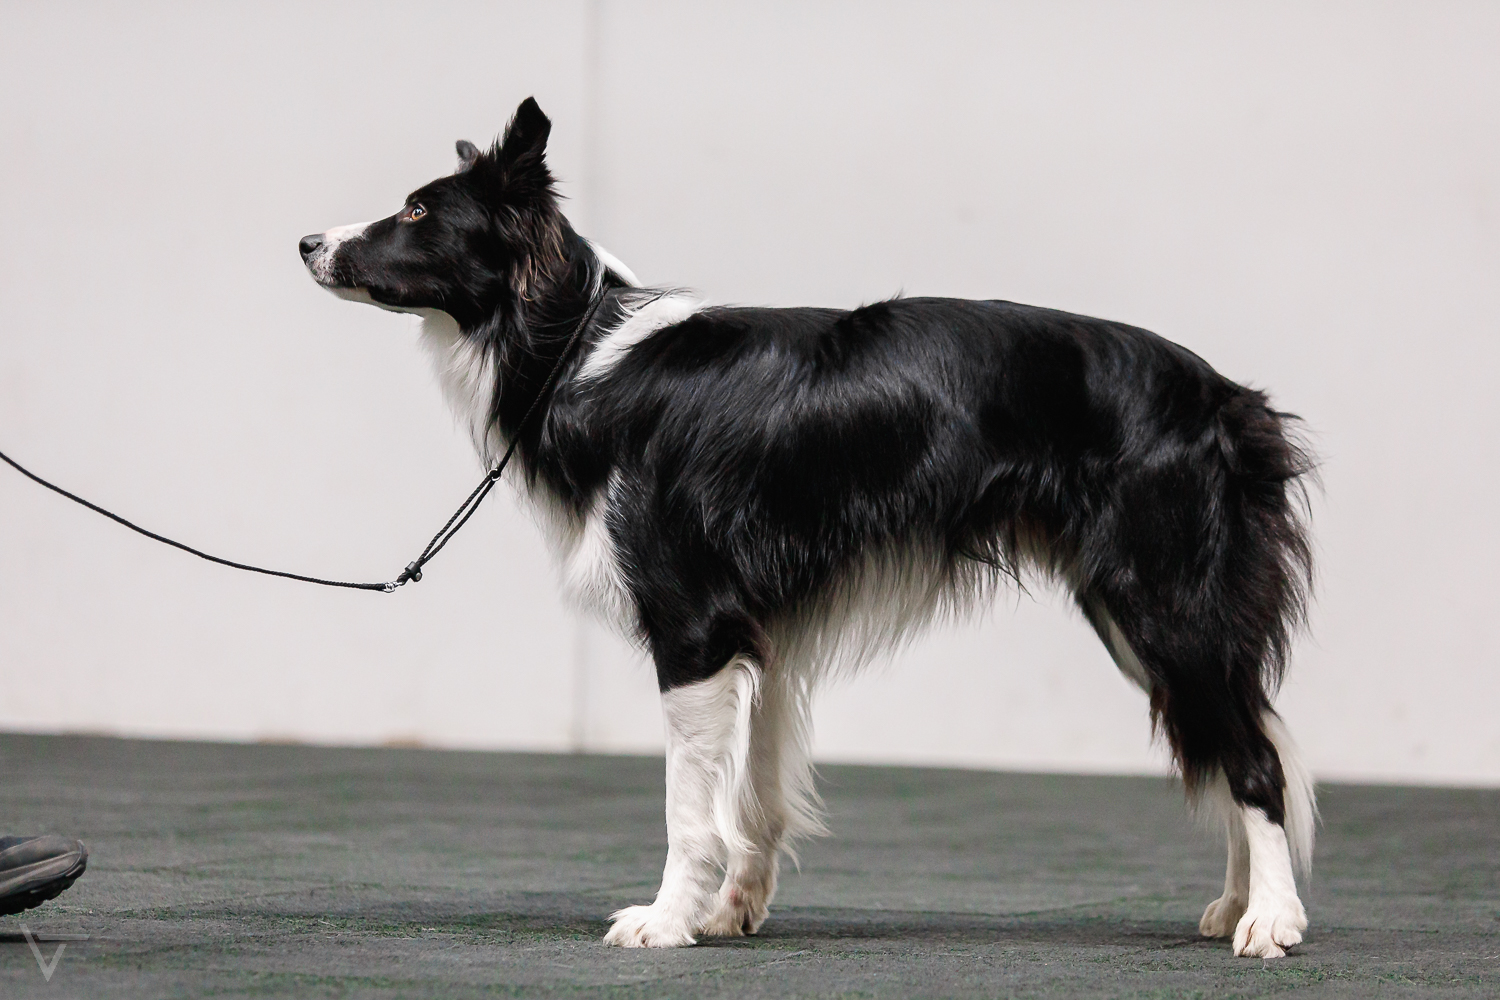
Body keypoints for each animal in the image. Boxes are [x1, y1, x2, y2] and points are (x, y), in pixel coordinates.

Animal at [299, 97, 1316, 957]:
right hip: (1143, 616)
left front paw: (666, 921)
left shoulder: (692, 625)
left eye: (418, 213)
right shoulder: (764, 633)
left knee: (1254, 759)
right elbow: (755, 791)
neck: (572, 349)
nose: (307, 240)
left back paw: (1271, 920)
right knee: (1232, 740)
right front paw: (731, 909)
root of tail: (1226, 395)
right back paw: (1237, 903)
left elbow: (688, 806)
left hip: (1163, 601)